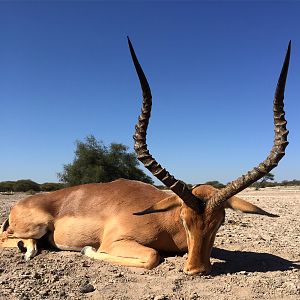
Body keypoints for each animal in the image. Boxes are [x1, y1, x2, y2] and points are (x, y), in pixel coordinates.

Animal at [0, 38, 290, 276]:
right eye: (184, 219)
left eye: (220, 222)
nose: (196, 270)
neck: (164, 221)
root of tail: (22, 203)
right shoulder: (116, 242)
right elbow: (152, 257)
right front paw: (87, 250)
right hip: (34, 227)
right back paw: (27, 248)